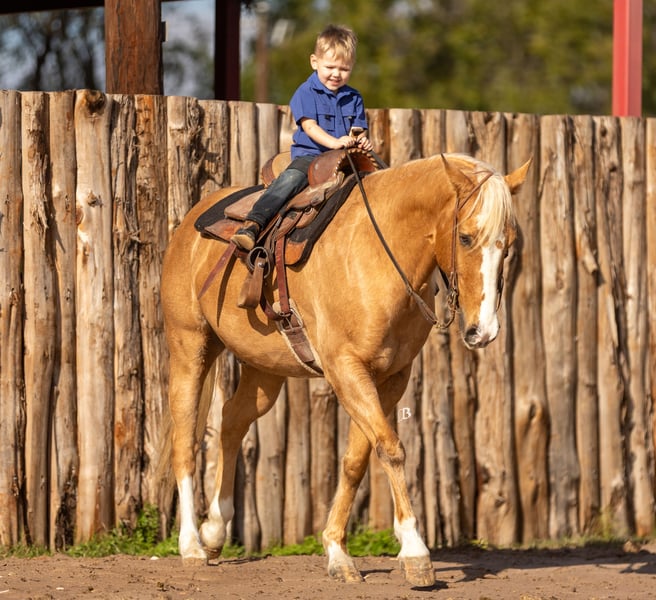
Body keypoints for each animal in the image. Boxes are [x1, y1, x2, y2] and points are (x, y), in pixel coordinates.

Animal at [160, 152, 530, 587]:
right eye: (467, 237)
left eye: (510, 244)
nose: (483, 331)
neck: (377, 254)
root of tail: (192, 221)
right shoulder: (346, 370)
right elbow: (391, 448)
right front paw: (416, 552)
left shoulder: (390, 377)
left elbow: (358, 459)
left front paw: (337, 550)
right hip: (189, 348)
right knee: (185, 440)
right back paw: (191, 546)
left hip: (265, 370)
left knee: (233, 420)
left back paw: (215, 531)